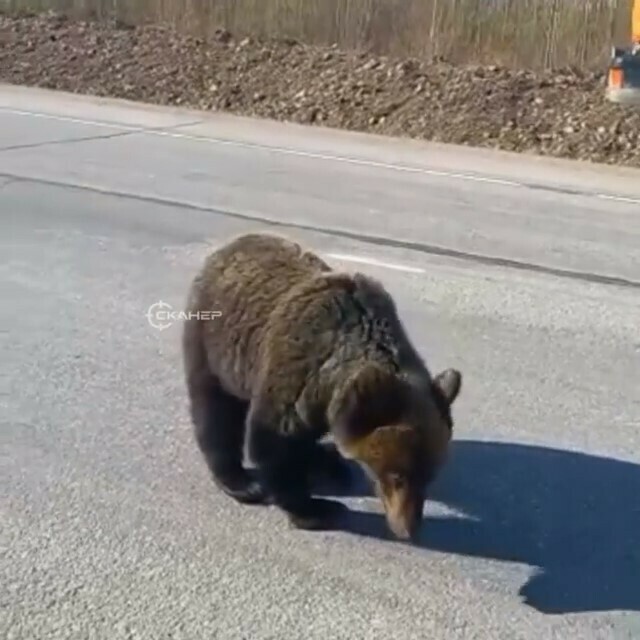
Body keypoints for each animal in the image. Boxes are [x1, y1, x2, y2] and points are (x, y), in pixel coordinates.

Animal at [182, 230, 462, 540]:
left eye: (430, 474)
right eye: (398, 475)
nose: (409, 529)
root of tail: (233, 243)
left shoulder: (320, 399)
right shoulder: (296, 371)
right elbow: (274, 440)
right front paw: (314, 508)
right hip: (215, 340)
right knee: (215, 409)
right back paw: (239, 481)